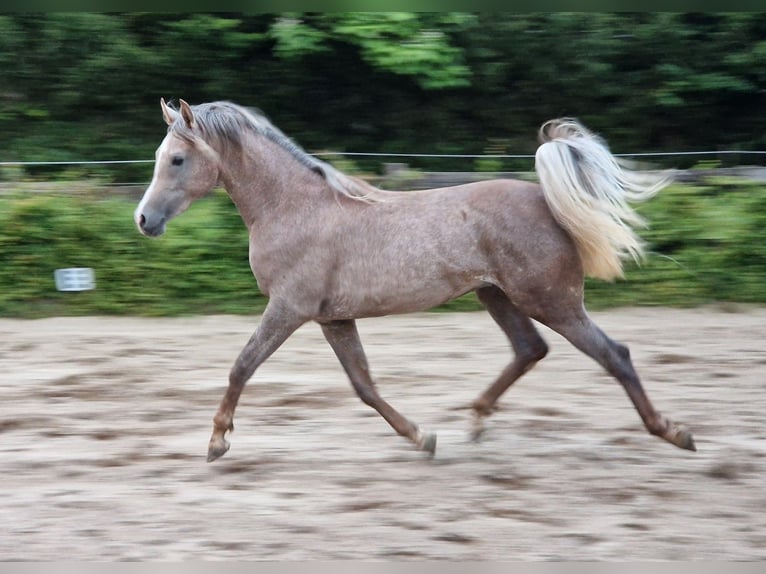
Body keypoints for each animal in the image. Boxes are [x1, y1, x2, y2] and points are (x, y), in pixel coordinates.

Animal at [135, 99, 700, 464]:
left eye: (178, 159)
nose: (144, 220)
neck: (295, 208)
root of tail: (546, 200)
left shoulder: (289, 308)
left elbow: (242, 366)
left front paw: (216, 443)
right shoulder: (333, 318)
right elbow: (363, 385)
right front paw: (422, 437)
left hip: (551, 301)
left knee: (613, 353)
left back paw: (675, 433)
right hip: (498, 295)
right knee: (529, 350)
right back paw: (476, 420)